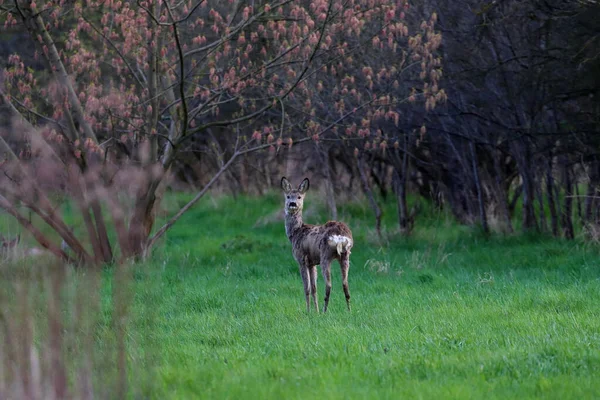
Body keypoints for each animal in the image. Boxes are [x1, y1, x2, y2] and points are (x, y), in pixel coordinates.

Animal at [280, 177, 352, 312]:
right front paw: (316, 311)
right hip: (345, 255)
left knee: (329, 284)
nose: (292, 204)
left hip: (325, 255)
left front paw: (308, 311)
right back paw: (349, 311)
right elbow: (314, 288)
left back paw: (325, 311)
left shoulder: (302, 259)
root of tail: (340, 235)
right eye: (288, 196)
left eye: (299, 197)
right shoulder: (312, 263)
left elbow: (307, 288)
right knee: (345, 283)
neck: (296, 232)